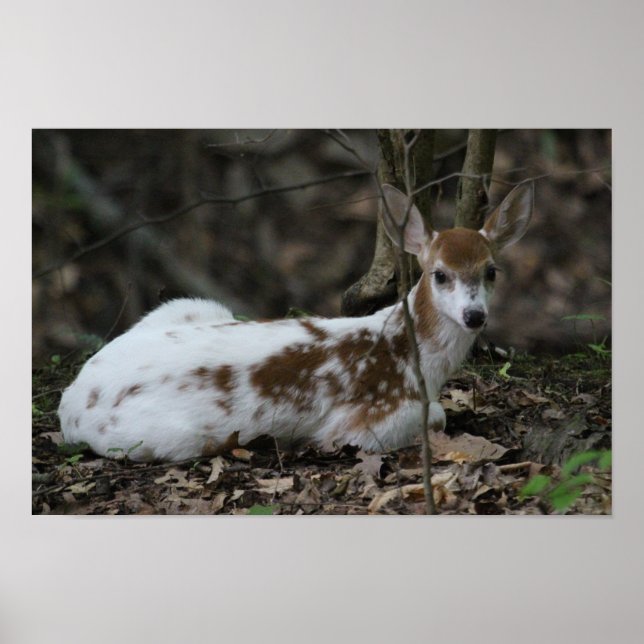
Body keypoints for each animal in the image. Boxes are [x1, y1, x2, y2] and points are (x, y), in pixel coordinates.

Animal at [58, 182, 533, 462]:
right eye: (440, 274)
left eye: (491, 271)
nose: (475, 315)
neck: (416, 360)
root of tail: (71, 400)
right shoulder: (366, 422)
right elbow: (437, 415)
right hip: (166, 438)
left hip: (192, 306)